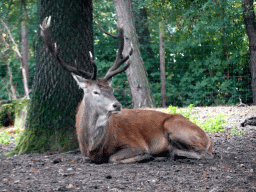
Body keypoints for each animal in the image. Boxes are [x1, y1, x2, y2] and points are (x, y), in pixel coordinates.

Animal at [39, 16, 212, 164]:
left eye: (112, 90)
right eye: (95, 91)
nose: (117, 105)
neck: (93, 146)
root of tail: (208, 138)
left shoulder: (135, 143)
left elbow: (113, 158)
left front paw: (146, 156)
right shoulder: (85, 154)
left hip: (175, 127)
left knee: (204, 153)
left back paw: (170, 153)